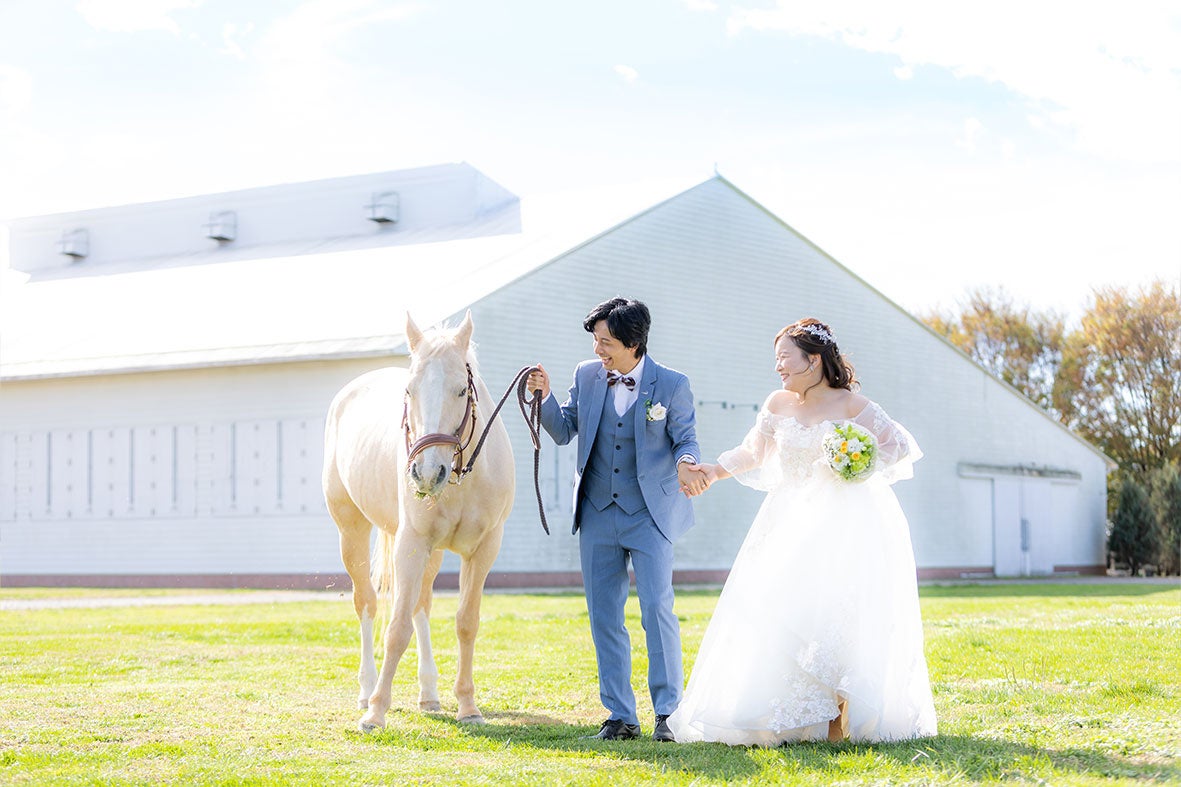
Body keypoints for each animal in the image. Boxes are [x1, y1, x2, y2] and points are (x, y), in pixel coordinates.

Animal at [322, 311, 515, 731]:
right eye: (408, 391)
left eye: (461, 391)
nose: (427, 474)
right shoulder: (411, 544)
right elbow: (396, 629)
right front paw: (376, 711)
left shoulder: (484, 549)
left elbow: (465, 622)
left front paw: (468, 706)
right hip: (352, 532)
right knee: (368, 604)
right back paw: (366, 690)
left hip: (433, 553)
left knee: (421, 606)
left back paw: (429, 693)